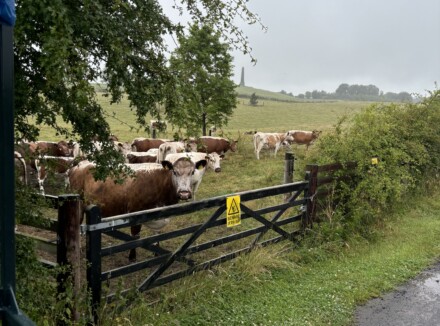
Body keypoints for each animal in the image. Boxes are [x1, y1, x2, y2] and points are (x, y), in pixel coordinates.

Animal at [67, 157, 208, 262]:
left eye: (192, 172)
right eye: (174, 172)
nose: (184, 193)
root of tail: (79, 164)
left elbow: (157, 233)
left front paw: (157, 252)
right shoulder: (135, 212)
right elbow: (135, 237)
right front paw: (132, 257)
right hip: (79, 204)